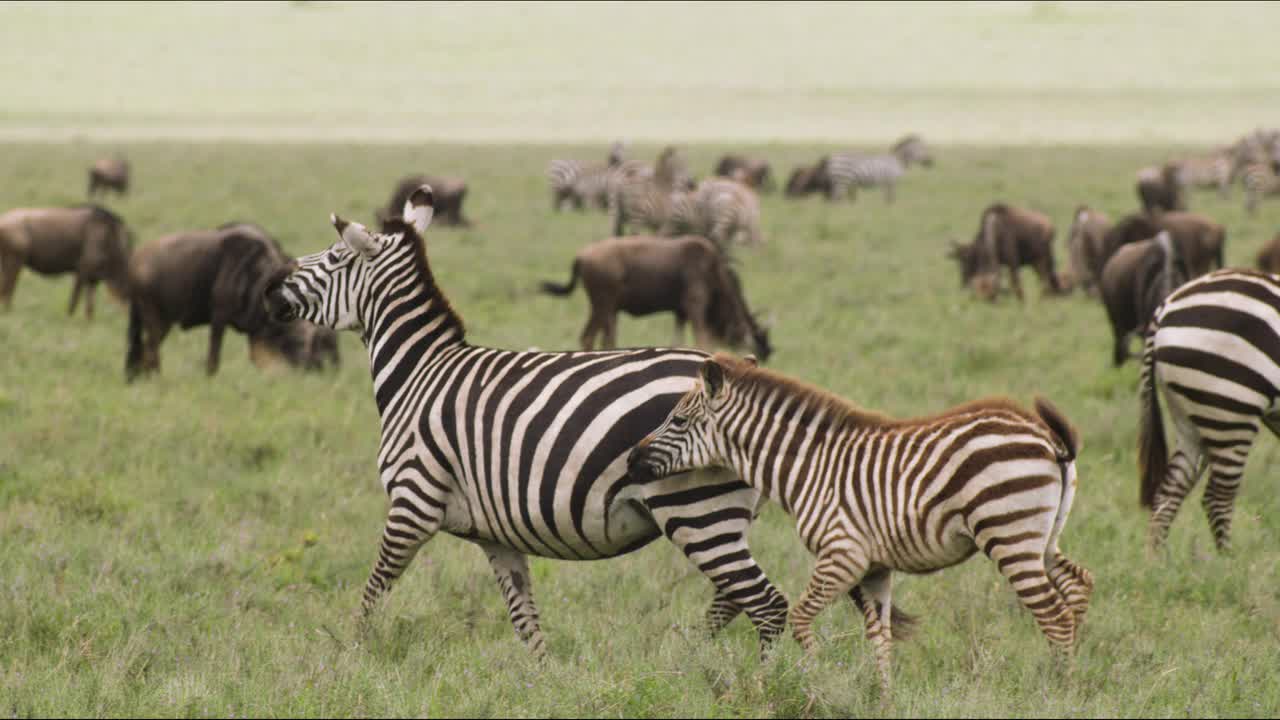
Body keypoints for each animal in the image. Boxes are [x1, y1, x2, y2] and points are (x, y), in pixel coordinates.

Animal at [629, 353, 1090, 696]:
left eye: (678, 421)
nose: (632, 460)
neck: (810, 468)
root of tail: (1049, 439)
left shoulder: (842, 554)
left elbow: (800, 619)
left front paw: (814, 680)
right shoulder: (874, 568)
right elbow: (879, 638)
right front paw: (884, 700)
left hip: (1009, 535)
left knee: (1054, 616)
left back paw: (1059, 692)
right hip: (1042, 537)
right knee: (1077, 585)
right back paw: (1075, 676)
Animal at [1141, 266, 1280, 550]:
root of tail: (1167, 305)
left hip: (1193, 419)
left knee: (1168, 493)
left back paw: (1156, 560)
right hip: (1230, 410)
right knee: (1216, 498)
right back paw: (1230, 561)